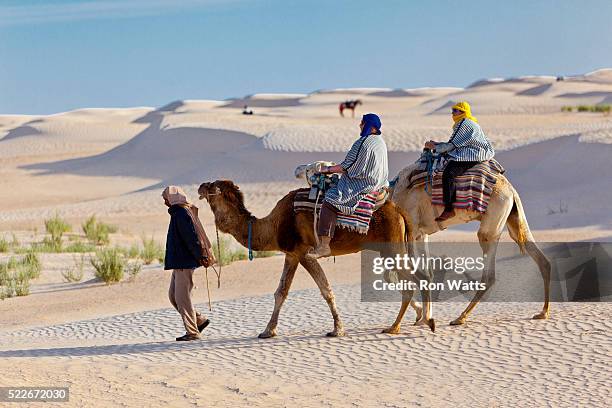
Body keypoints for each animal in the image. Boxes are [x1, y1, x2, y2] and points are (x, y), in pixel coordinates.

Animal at [197, 180, 436, 340]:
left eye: (212, 187)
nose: (200, 186)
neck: (273, 226)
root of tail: (399, 211)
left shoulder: (303, 252)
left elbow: (324, 289)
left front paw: (337, 329)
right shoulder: (291, 254)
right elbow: (281, 292)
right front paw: (268, 330)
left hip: (392, 247)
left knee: (413, 279)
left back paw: (400, 326)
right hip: (397, 246)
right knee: (418, 275)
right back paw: (420, 320)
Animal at [388, 161, 556, 334]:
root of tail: (511, 191)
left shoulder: (411, 230)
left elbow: (405, 274)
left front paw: (416, 320)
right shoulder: (420, 234)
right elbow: (425, 273)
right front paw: (423, 317)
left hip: (491, 223)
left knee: (489, 273)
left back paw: (460, 318)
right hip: (514, 218)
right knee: (540, 258)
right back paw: (543, 312)